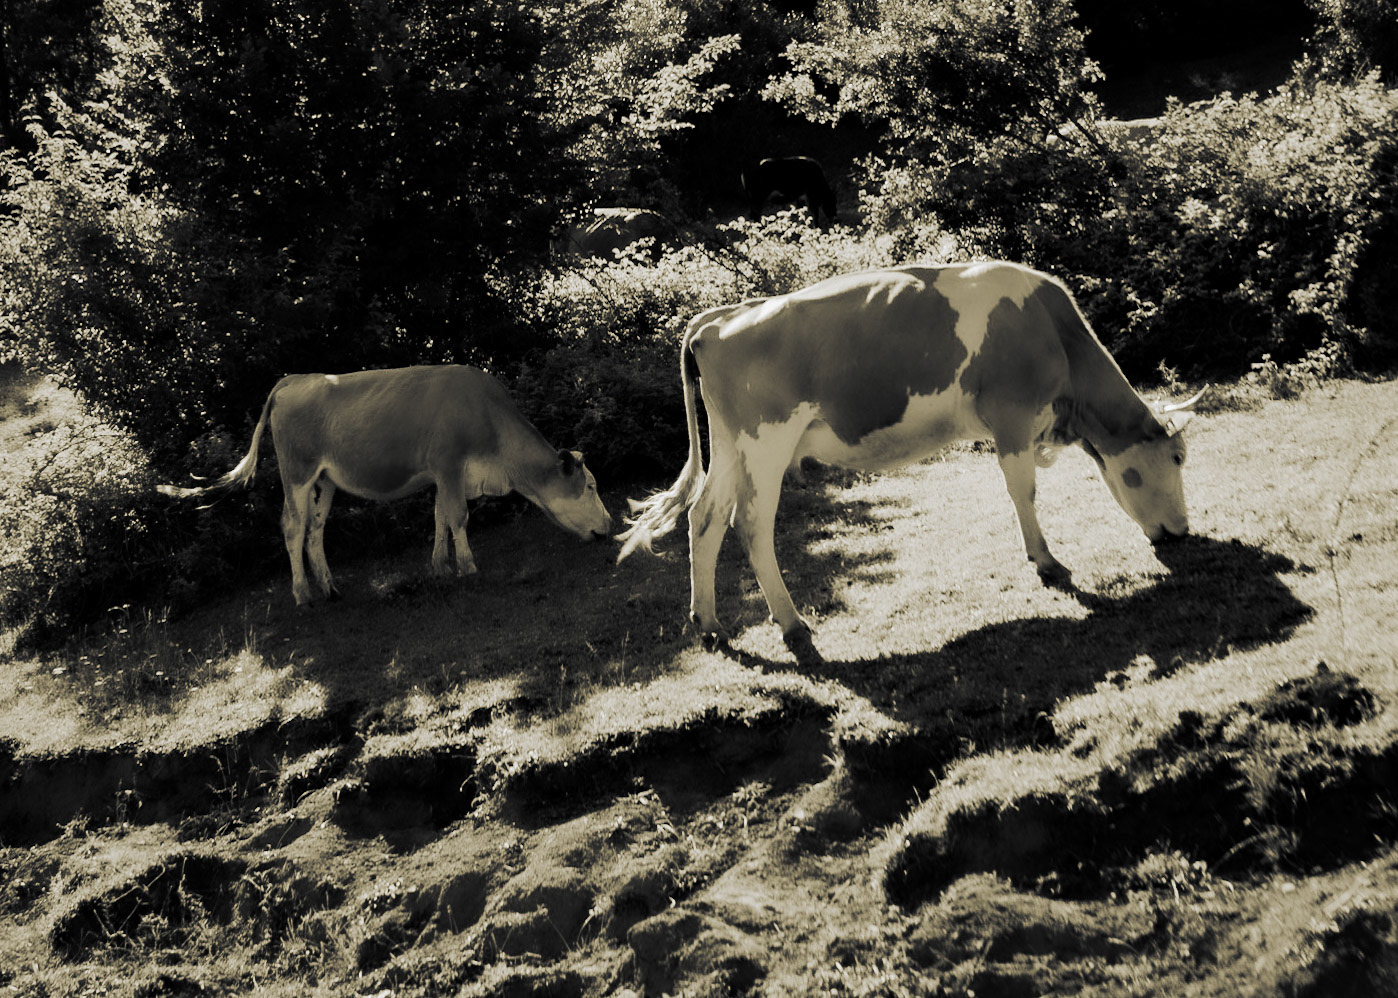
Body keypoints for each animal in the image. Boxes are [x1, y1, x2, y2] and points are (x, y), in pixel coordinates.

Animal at [160, 365, 613, 606]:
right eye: (591, 486)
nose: (610, 525)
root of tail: (295, 378)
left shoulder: (441, 474)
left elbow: (440, 518)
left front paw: (440, 566)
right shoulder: (449, 464)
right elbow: (459, 517)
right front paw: (467, 566)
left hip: (325, 479)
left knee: (314, 530)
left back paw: (330, 588)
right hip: (298, 473)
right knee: (292, 527)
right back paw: (303, 593)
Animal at [616, 261, 1205, 657]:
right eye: (1176, 457)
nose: (1182, 532)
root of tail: (720, 318)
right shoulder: (1011, 414)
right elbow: (1024, 491)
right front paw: (1046, 562)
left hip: (731, 446)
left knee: (705, 518)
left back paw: (710, 623)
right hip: (766, 441)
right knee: (752, 524)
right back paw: (791, 622)